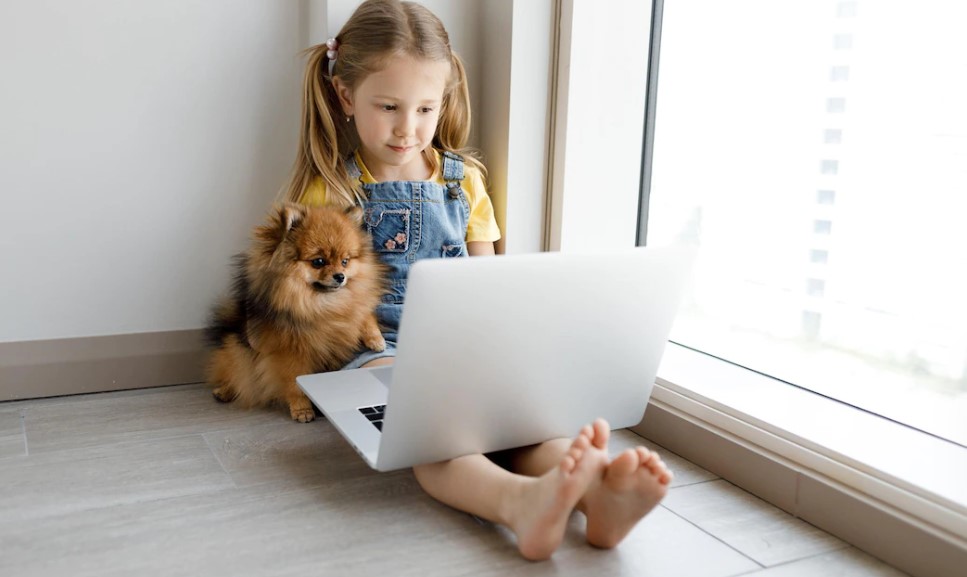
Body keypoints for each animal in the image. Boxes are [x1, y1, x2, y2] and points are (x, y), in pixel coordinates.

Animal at [206, 205, 388, 420]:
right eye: (318, 261)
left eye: (345, 261)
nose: (340, 276)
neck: (319, 304)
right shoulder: (289, 352)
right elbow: (295, 383)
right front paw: (302, 408)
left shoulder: (353, 306)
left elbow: (364, 314)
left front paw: (376, 339)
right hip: (237, 348)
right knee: (239, 375)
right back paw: (225, 390)